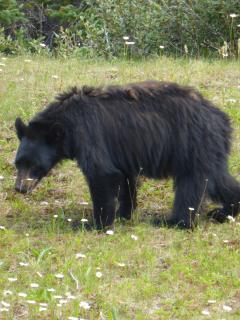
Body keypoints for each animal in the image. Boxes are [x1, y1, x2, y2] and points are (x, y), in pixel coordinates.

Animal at [14, 81, 240, 229]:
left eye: (34, 165)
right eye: (18, 164)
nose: (19, 188)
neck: (66, 122)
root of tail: (222, 119)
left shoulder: (89, 134)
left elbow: (102, 174)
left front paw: (95, 224)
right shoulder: (121, 151)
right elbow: (124, 178)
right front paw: (124, 214)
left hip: (193, 144)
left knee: (191, 185)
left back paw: (174, 221)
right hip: (208, 149)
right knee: (219, 179)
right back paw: (224, 211)